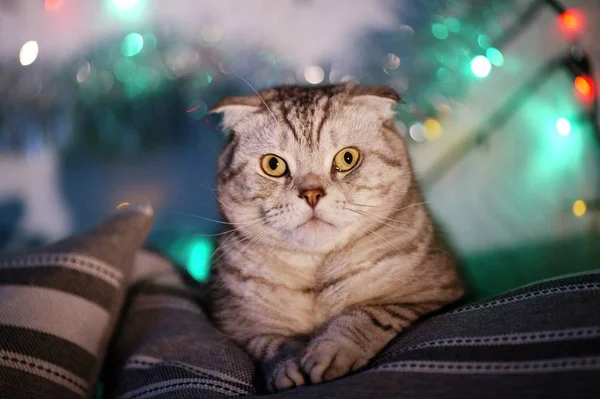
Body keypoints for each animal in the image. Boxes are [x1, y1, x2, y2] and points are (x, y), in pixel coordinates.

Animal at [207, 83, 464, 392]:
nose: (312, 194)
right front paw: (288, 366)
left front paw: (331, 351)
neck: (316, 278)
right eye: (273, 164)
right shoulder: (234, 324)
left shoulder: (436, 295)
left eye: (347, 158)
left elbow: (369, 315)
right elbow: (271, 342)